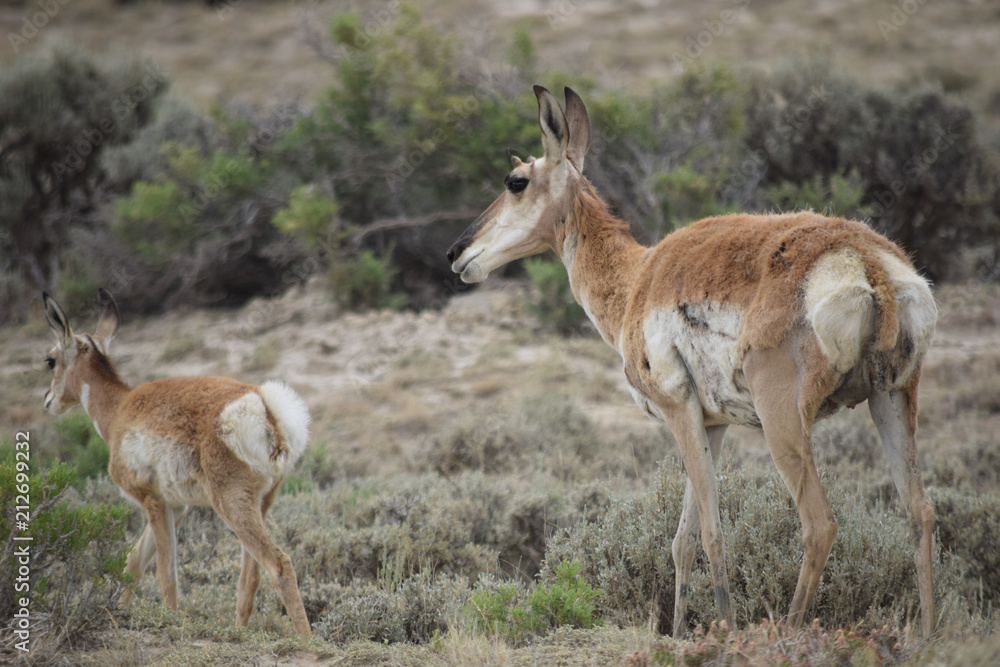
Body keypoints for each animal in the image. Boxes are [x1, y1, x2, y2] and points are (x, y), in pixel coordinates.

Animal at [41, 289, 312, 638]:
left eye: (50, 360)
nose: (48, 401)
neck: (120, 409)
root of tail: (263, 403)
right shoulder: (176, 506)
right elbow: (133, 562)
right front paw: (118, 612)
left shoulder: (152, 501)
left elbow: (165, 573)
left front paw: (168, 621)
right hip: (260, 505)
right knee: (249, 578)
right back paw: (238, 633)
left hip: (232, 506)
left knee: (279, 565)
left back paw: (308, 641)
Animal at [446, 86, 937, 637]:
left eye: (516, 181)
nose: (456, 252)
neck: (638, 277)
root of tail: (865, 261)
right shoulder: (712, 425)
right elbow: (681, 540)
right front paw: (681, 631)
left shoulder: (679, 412)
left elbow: (710, 532)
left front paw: (723, 628)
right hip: (892, 401)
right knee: (919, 513)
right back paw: (930, 634)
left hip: (784, 426)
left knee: (820, 523)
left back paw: (787, 631)